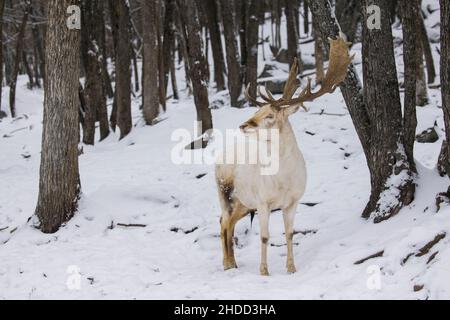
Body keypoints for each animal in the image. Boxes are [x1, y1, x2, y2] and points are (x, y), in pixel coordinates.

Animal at [215, 35, 356, 276]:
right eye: (257, 111)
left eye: (269, 115)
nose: (243, 125)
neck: (283, 181)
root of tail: (217, 158)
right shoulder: (263, 202)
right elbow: (264, 237)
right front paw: (264, 271)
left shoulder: (293, 201)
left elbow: (289, 233)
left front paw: (291, 268)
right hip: (225, 193)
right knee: (223, 221)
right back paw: (226, 264)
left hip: (244, 203)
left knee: (229, 223)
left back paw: (233, 263)